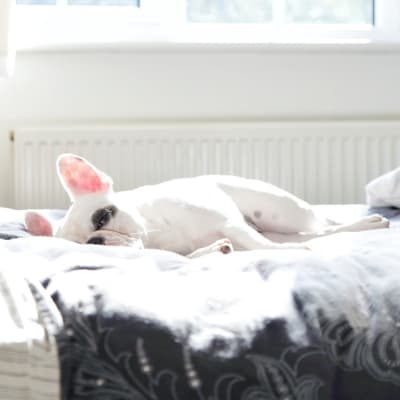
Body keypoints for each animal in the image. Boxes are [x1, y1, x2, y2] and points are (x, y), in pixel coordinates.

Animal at [24, 153, 388, 260]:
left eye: (102, 217)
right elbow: (196, 256)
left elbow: (259, 244)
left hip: (282, 213)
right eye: (81, 246)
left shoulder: (229, 223)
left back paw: (366, 223)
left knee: (323, 225)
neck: (156, 234)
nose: (96, 241)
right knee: (312, 234)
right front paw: (216, 250)